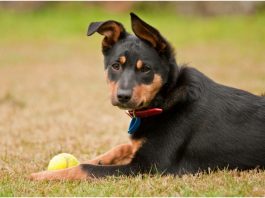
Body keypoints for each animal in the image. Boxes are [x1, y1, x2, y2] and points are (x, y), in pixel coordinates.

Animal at [29, 11, 262, 180]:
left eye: (146, 69)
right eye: (116, 66)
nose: (122, 96)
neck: (164, 99)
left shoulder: (148, 166)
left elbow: (84, 168)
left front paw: (40, 175)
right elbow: (119, 147)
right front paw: (97, 158)